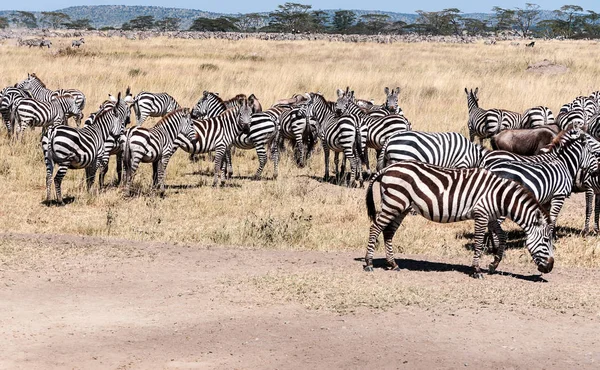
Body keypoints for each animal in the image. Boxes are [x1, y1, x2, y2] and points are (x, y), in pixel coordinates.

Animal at [364, 161, 556, 278]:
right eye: (546, 240)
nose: (550, 268)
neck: (499, 197)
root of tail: (388, 168)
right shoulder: (481, 214)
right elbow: (479, 242)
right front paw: (477, 270)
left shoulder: (491, 217)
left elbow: (502, 236)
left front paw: (494, 264)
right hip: (394, 203)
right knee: (375, 228)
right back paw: (368, 263)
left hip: (401, 206)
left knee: (388, 232)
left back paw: (393, 264)